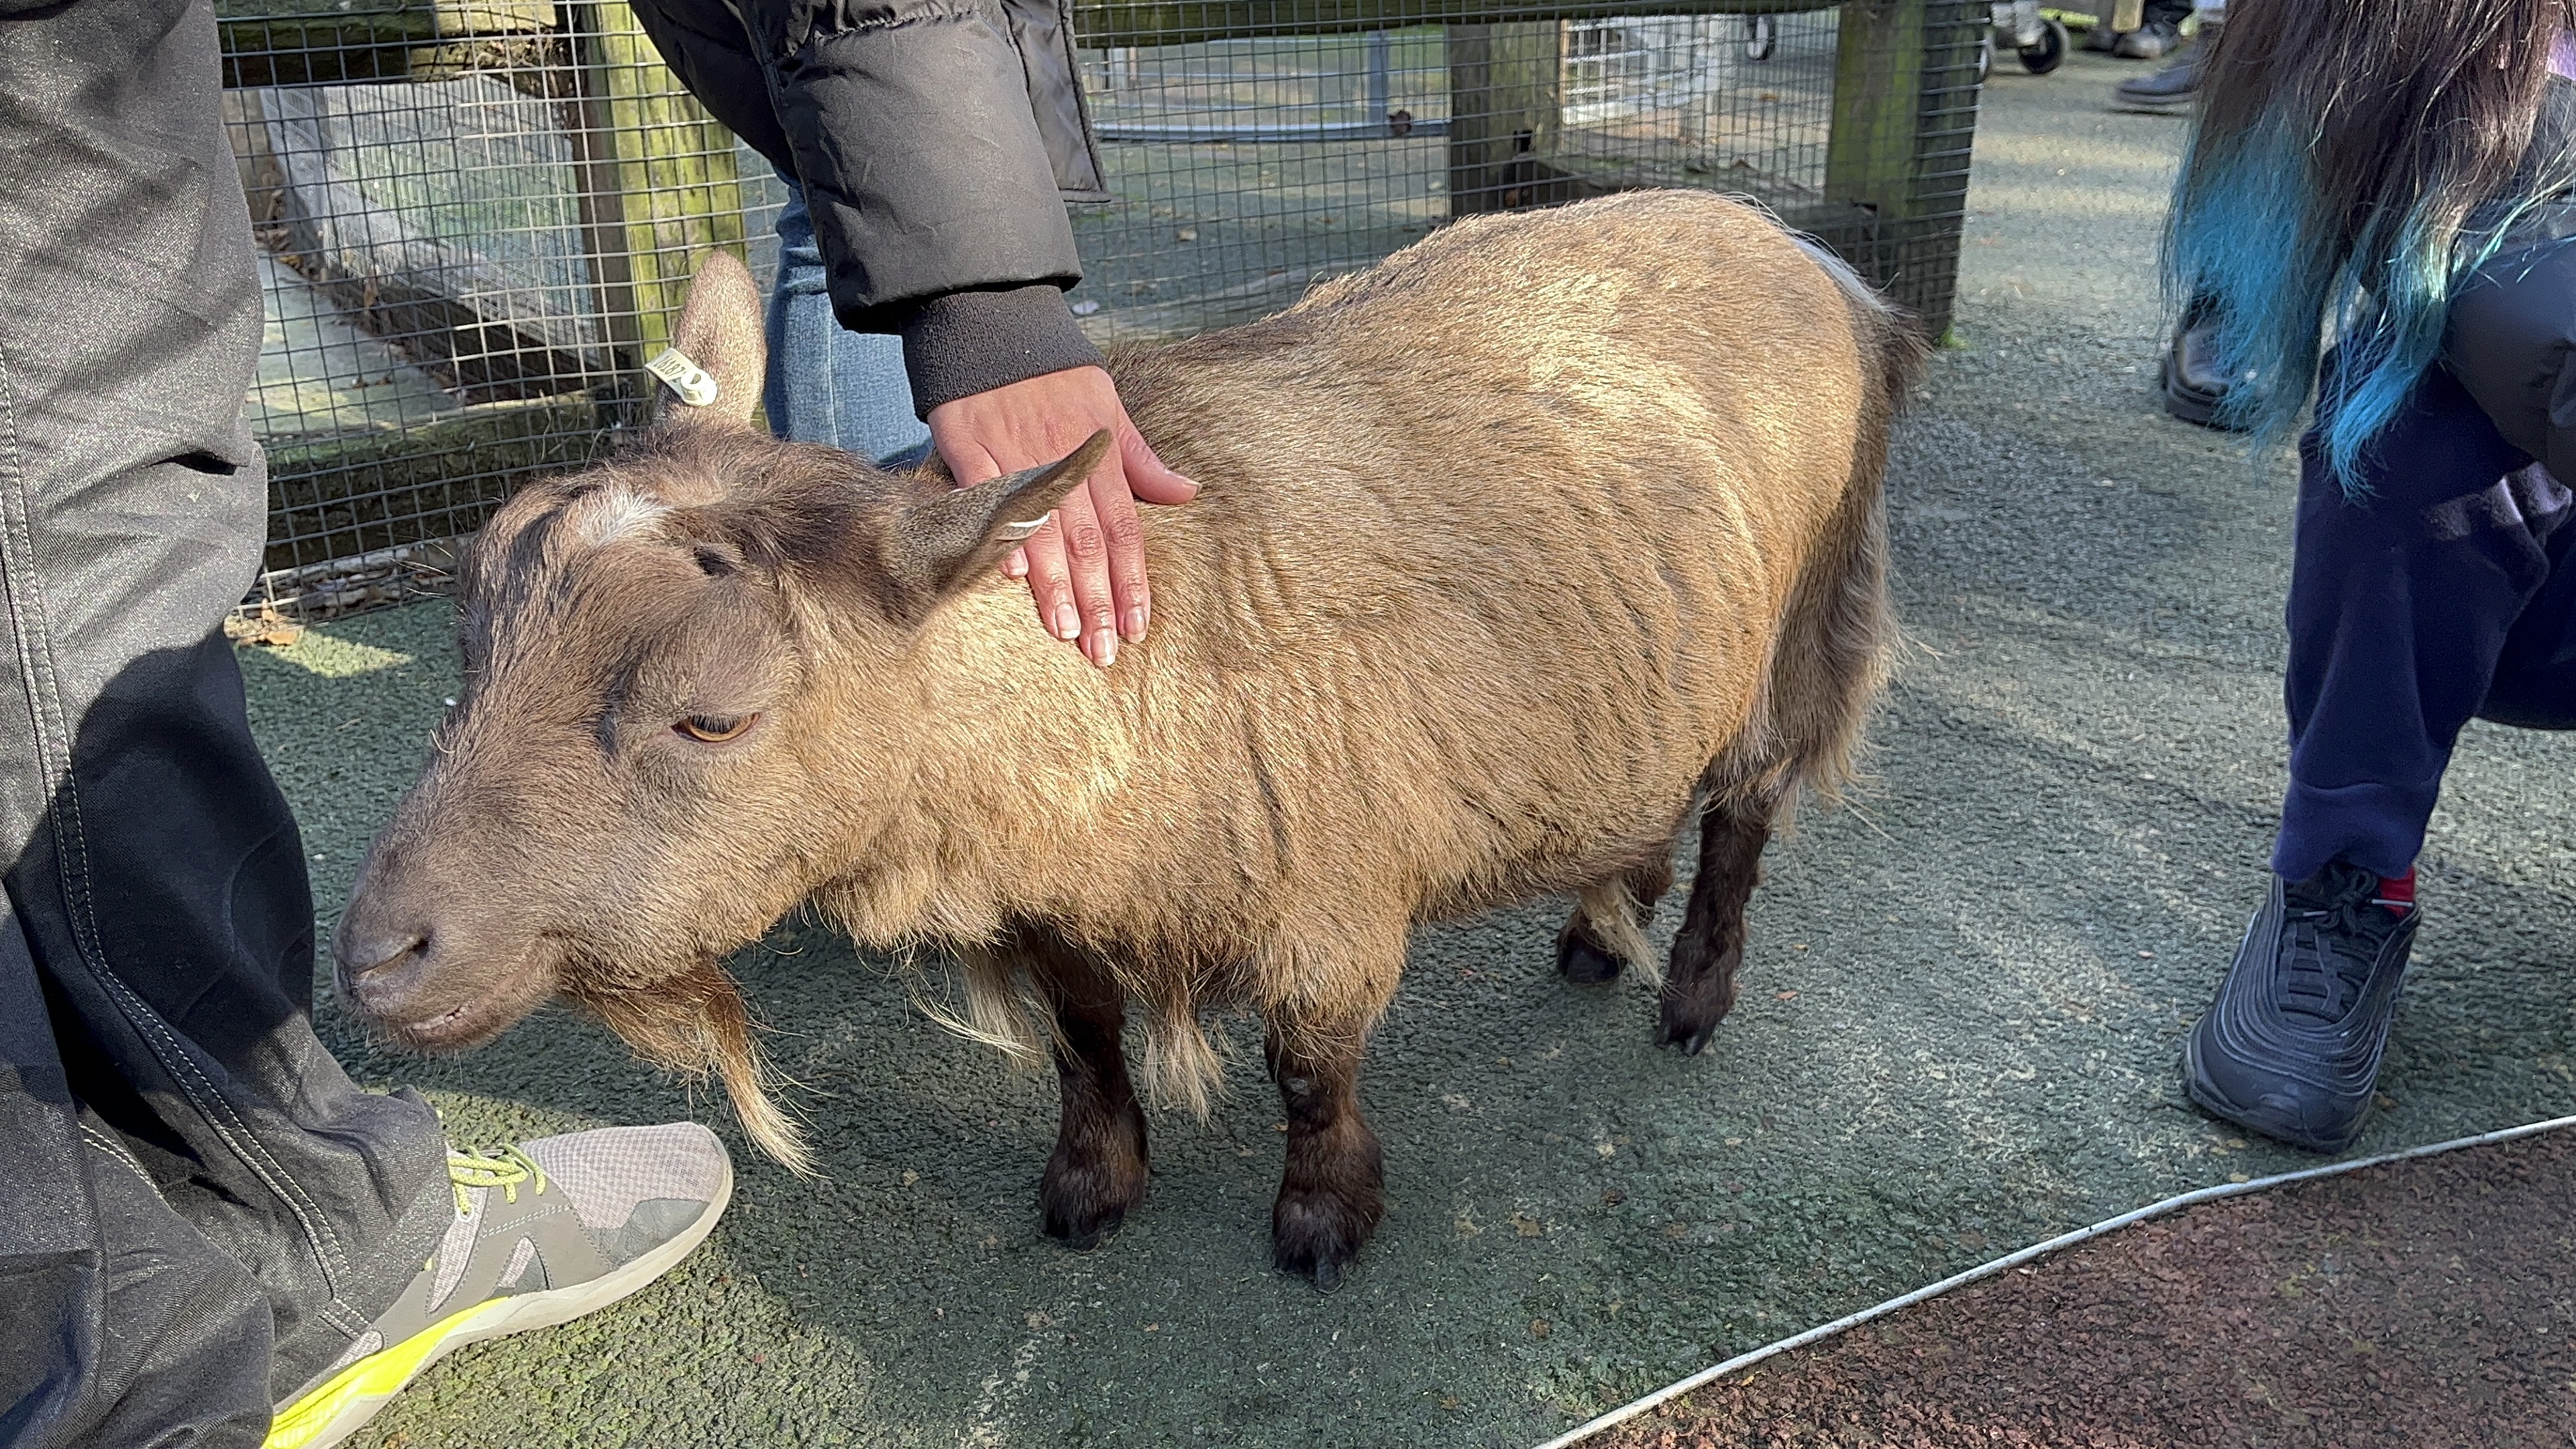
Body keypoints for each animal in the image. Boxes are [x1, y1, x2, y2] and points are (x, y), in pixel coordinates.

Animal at [334, 190, 1923, 1288]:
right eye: (471, 649)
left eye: (711, 715)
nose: (378, 959)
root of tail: (1833, 269)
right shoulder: (1052, 906)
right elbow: (1085, 1040)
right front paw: (1092, 1186)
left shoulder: (1330, 893)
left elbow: (1309, 1066)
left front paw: (1323, 1218)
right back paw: (1604, 921)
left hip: (1802, 620)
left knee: (1747, 811)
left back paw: (1692, 991)